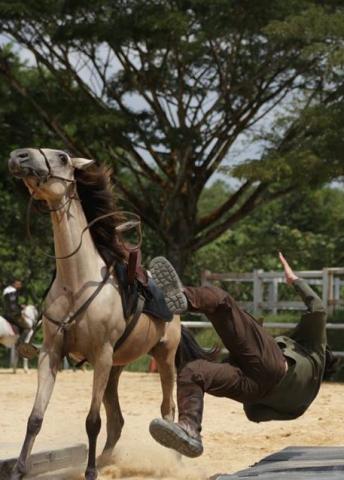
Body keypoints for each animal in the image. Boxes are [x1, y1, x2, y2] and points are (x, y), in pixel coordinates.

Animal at [7, 149, 180, 480]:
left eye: (62, 157)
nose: (18, 156)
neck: (76, 283)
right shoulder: (51, 353)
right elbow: (35, 417)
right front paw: (19, 470)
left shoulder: (101, 355)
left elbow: (92, 421)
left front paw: (89, 473)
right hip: (116, 367)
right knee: (117, 420)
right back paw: (105, 460)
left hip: (164, 357)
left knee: (168, 409)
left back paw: (173, 460)